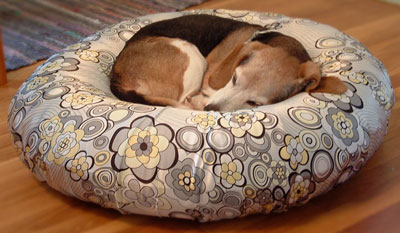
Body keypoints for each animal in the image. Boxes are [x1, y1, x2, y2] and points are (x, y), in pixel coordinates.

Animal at [109, 14, 346, 111]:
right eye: (233, 78)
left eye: (255, 103)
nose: (211, 110)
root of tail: (116, 75)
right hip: (191, 54)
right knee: (183, 99)